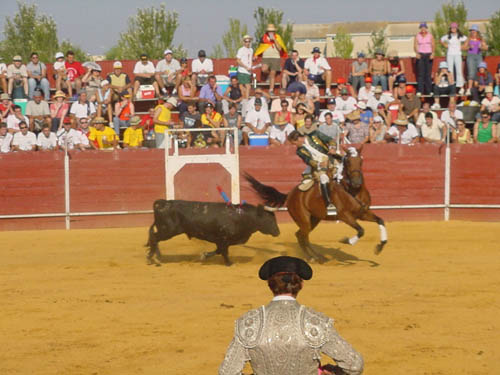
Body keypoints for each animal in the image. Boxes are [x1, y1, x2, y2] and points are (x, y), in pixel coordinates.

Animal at [146, 201, 282, 266]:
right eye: (269, 219)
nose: (278, 232)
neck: (241, 216)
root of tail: (163, 202)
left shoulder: (222, 240)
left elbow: (219, 250)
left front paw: (204, 255)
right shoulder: (223, 239)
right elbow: (223, 251)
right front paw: (229, 263)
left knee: (154, 238)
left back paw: (156, 257)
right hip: (168, 230)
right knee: (154, 238)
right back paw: (153, 258)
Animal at [244, 148, 388, 262]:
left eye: (361, 160)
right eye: (347, 161)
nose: (357, 182)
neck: (353, 191)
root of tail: (290, 195)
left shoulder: (363, 213)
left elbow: (380, 221)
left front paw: (380, 247)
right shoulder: (345, 216)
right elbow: (361, 230)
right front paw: (347, 241)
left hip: (314, 219)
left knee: (300, 236)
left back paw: (315, 257)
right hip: (304, 220)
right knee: (303, 236)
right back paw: (316, 257)